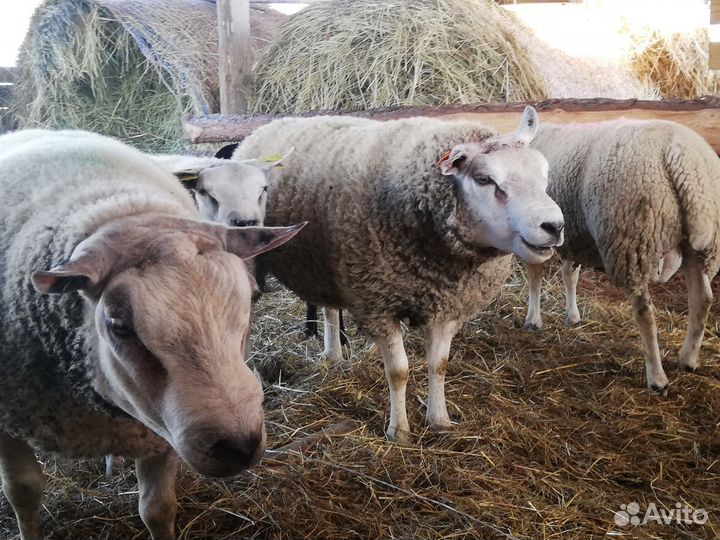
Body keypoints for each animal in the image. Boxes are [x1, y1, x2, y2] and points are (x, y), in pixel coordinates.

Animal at [0, 129, 302, 540]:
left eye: (252, 297)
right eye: (119, 325)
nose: (240, 446)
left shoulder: (158, 434)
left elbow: (157, 509)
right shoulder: (8, 422)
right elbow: (24, 493)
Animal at [232, 107, 565, 441]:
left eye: (544, 173)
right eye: (484, 179)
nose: (555, 226)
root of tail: (270, 124)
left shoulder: (446, 306)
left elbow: (439, 365)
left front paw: (439, 420)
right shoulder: (377, 305)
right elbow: (399, 371)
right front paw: (399, 431)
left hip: (325, 266)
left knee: (329, 309)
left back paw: (334, 355)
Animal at [521, 119, 720, 394]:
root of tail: (682, 158)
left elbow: (535, 278)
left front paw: (533, 320)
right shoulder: (574, 235)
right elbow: (569, 275)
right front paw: (572, 316)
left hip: (631, 239)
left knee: (645, 313)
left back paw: (657, 378)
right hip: (701, 245)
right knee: (702, 299)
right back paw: (688, 359)